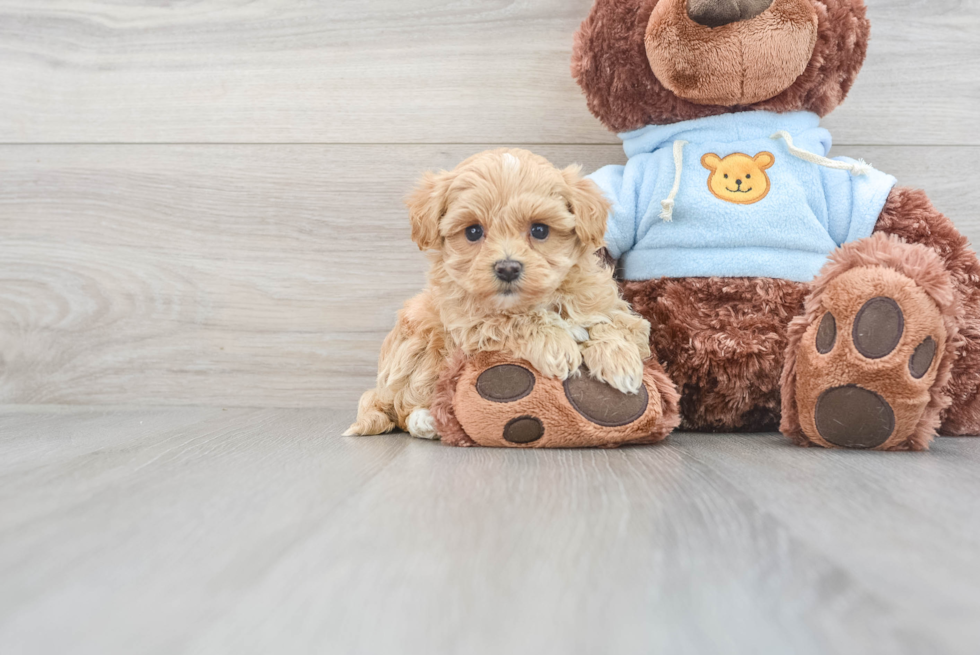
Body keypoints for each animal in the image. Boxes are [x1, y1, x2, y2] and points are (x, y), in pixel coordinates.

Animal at [344, 149, 652, 440]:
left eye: (539, 230)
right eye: (473, 231)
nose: (507, 268)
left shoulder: (608, 303)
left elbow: (611, 322)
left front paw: (620, 361)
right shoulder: (468, 321)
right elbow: (513, 320)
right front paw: (557, 346)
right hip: (421, 343)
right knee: (404, 408)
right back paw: (428, 421)